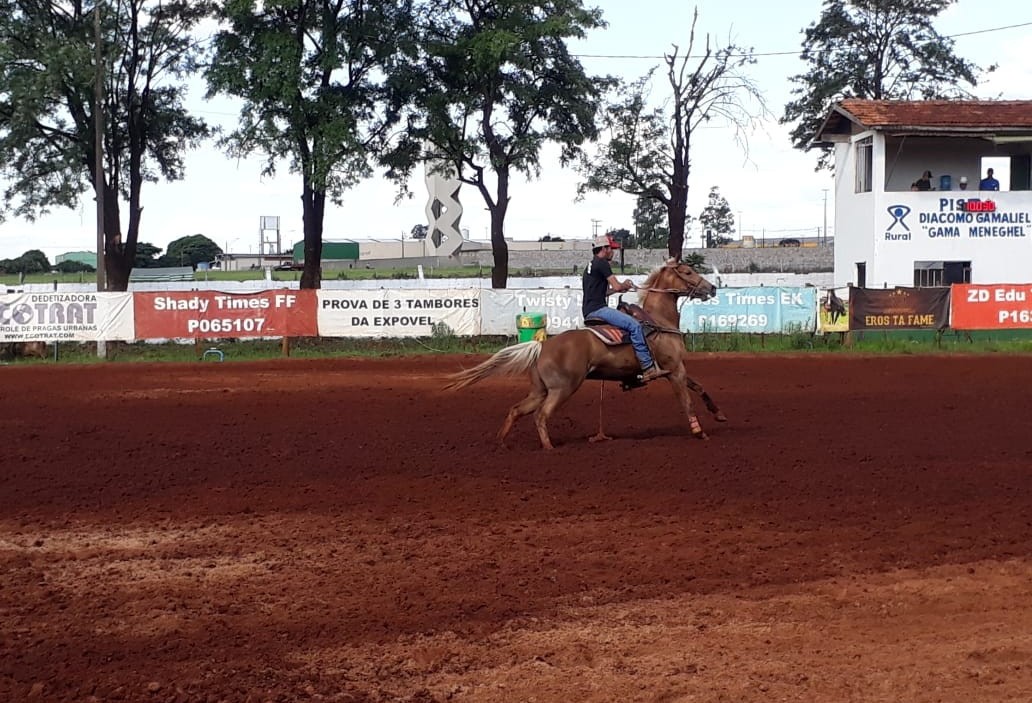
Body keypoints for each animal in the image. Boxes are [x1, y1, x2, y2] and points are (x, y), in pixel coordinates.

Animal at [441, 259, 726, 450]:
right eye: (688, 272)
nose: (712, 288)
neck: (657, 321)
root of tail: (542, 346)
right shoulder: (674, 370)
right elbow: (686, 401)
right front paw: (699, 432)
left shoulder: (677, 368)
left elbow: (700, 388)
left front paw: (719, 414)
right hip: (563, 389)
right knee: (540, 415)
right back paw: (549, 448)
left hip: (541, 390)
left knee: (516, 410)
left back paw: (501, 442)